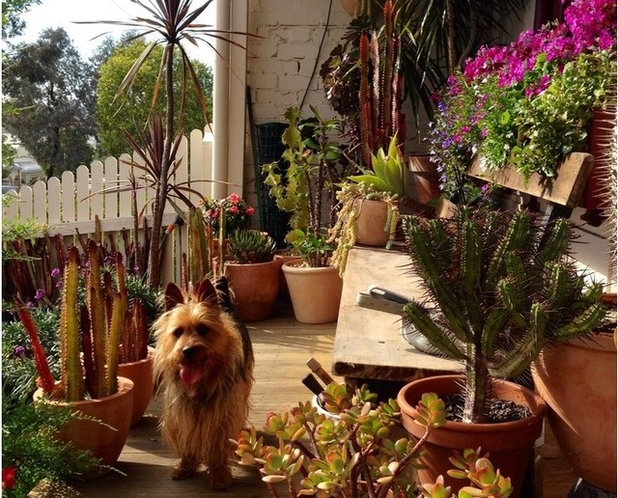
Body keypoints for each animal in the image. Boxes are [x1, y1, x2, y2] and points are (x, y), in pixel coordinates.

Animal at [152, 278, 253, 488]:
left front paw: (219, 473)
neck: (200, 386)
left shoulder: (223, 414)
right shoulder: (181, 413)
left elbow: (218, 444)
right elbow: (187, 437)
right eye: (178, 332)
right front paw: (186, 466)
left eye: (203, 329)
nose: (188, 350)